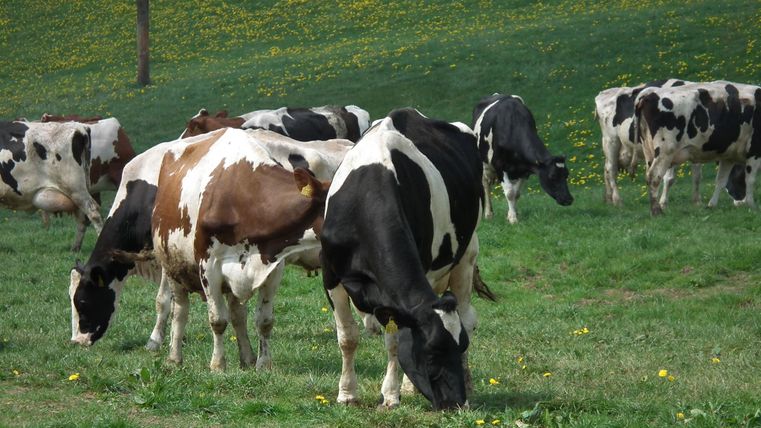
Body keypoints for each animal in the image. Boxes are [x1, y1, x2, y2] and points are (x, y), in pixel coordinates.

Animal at [1, 120, 103, 251]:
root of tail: (80, 126)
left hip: (75, 188)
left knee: (93, 212)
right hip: (78, 190)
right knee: (82, 217)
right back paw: (75, 248)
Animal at [320, 108, 483, 410]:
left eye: (460, 346)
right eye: (431, 353)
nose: (457, 404)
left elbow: (394, 341)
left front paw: (391, 394)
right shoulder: (331, 275)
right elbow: (347, 337)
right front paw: (347, 393)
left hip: (466, 255)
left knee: (467, 316)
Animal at [472, 94, 573, 224]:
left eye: (566, 175)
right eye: (552, 176)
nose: (569, 199)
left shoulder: (525, 170)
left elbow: (516, 193)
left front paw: (512, 214)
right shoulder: (499, 166)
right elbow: (510, 193)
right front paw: (513, 219)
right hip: (485, 163)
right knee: (486, 185)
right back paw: (489, 214)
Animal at [636, 81, 761, 215]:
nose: (740, 202)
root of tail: (650, 94)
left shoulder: (728, 156)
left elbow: (721, 180)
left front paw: (712, 205)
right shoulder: (755, 151)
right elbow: (750, 180)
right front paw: (752, 205)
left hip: (649, 152)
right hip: (665, 151)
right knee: (654, 176)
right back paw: (657, 211)